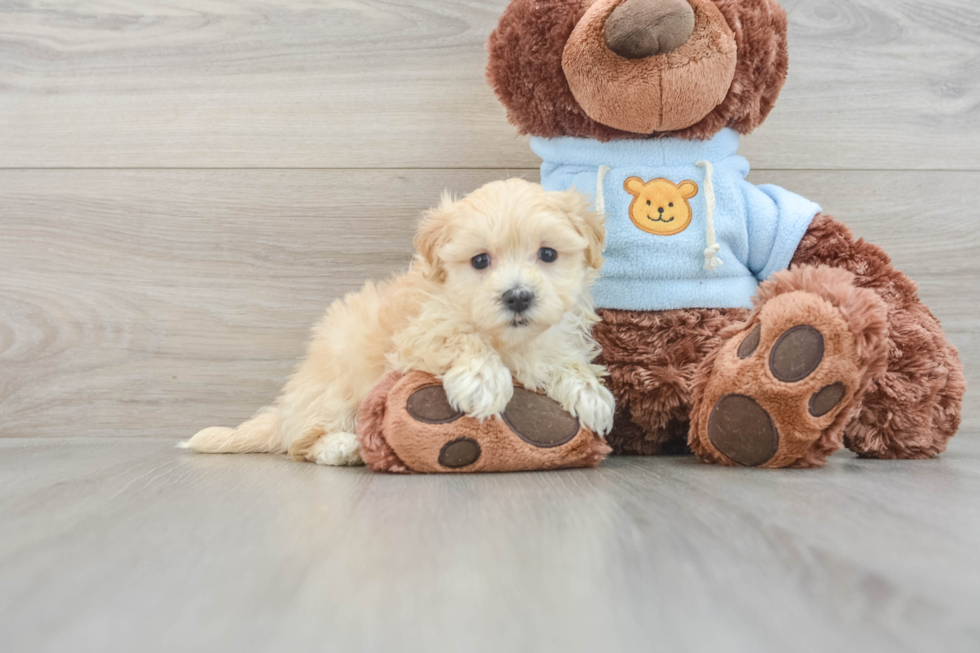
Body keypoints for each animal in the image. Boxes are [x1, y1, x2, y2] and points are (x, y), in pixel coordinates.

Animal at [180, 177, 616, 464]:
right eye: (479, 260)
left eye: (548, 254)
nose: (518, 296)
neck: (509, 340)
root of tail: (286, 409)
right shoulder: (414, 334)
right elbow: (456, 334)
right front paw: (483, 381)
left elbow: (566, 359)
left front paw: (589, 394)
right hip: (337, 381)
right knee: (300, 444)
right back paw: (342, 446)